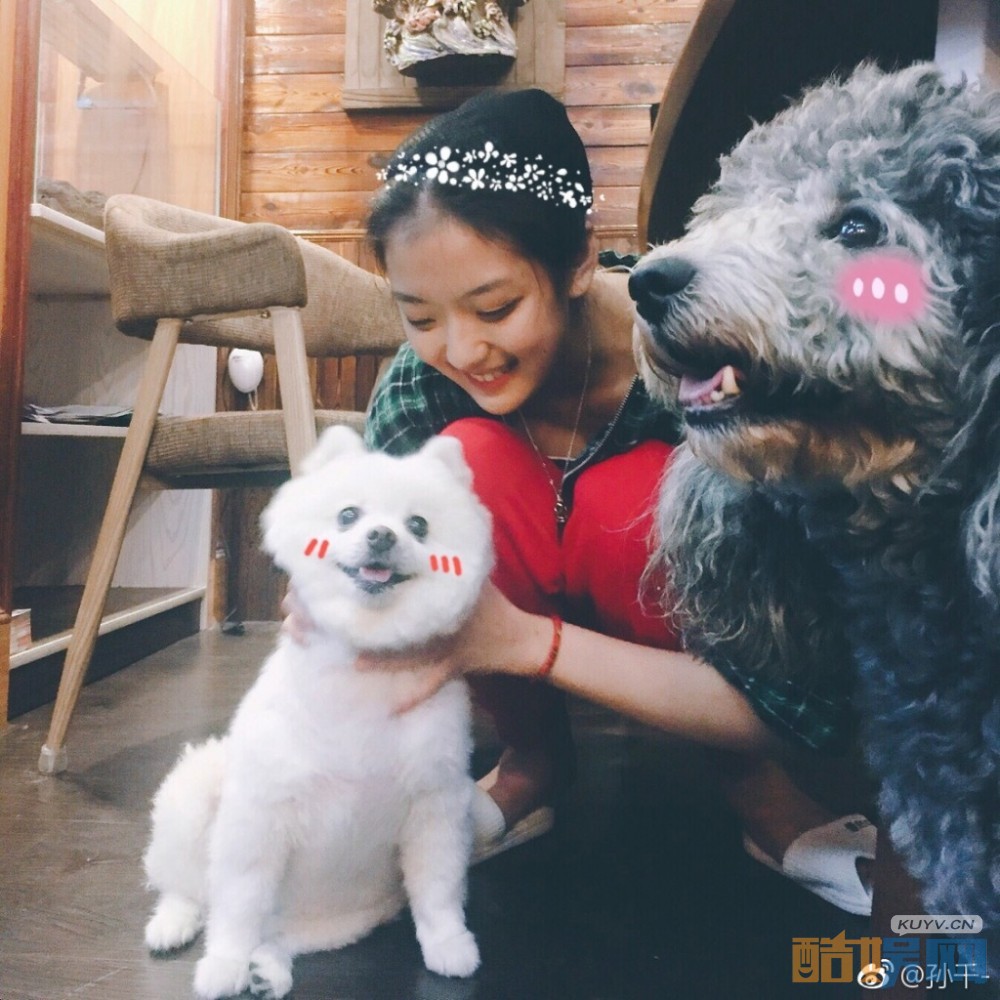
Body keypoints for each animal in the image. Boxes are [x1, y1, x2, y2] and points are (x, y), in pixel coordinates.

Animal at [142, 426, 493, 999]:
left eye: (419, 524)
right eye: (348, 514)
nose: (382, 536)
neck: (365, 670)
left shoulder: (435, 806)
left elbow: (438, 890)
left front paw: (449, 943)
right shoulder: (258, 814)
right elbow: (237, 906)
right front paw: (223, 963)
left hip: (331, 921)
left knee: (277, 936)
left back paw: (267, 968)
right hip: (191, 796)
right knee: (193, 889)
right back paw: (175, 924)